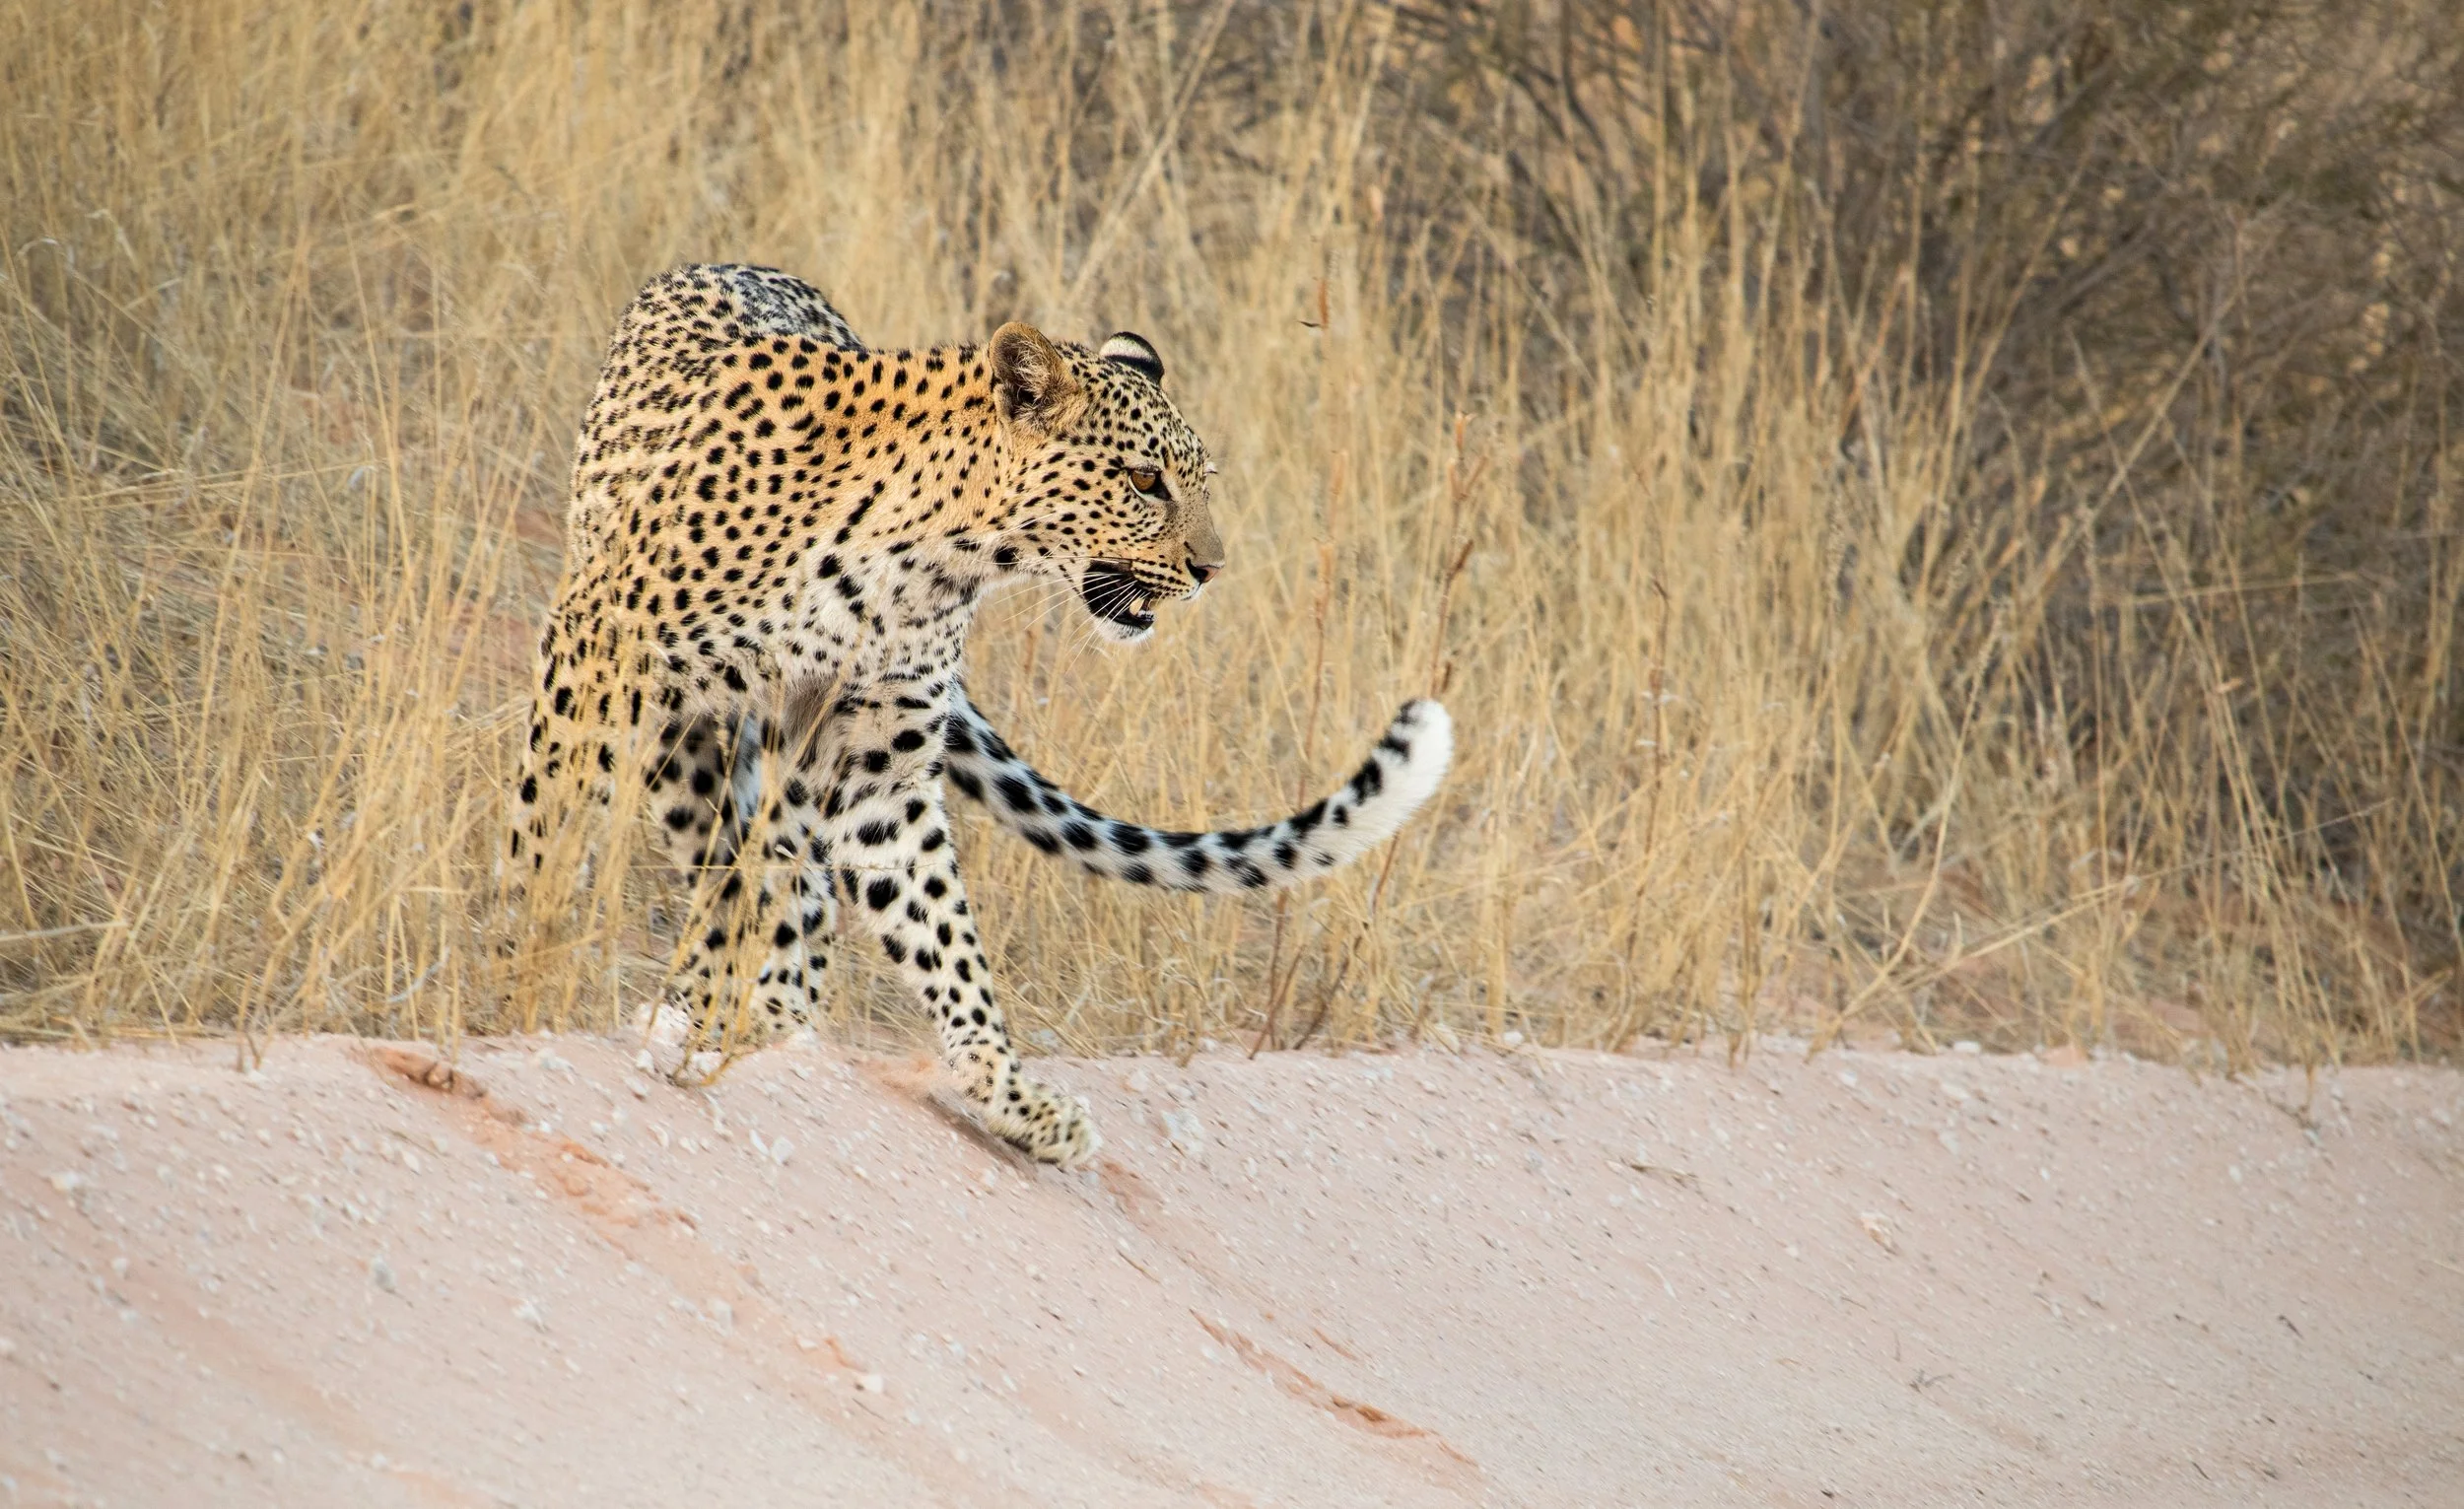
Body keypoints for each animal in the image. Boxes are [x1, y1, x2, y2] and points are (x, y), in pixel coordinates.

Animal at [506, 263, 1452, 1169]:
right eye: (1145, 481)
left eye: (1198, 483)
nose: (1211, 568)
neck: (928, 557)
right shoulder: (592, 664)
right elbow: (543, 840)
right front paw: (520, 985)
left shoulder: (876, 768)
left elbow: (942, 929)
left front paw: (1012, 1096)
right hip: (684, 741)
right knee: (738, 867)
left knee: (789, 893)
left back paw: (758, 1020)